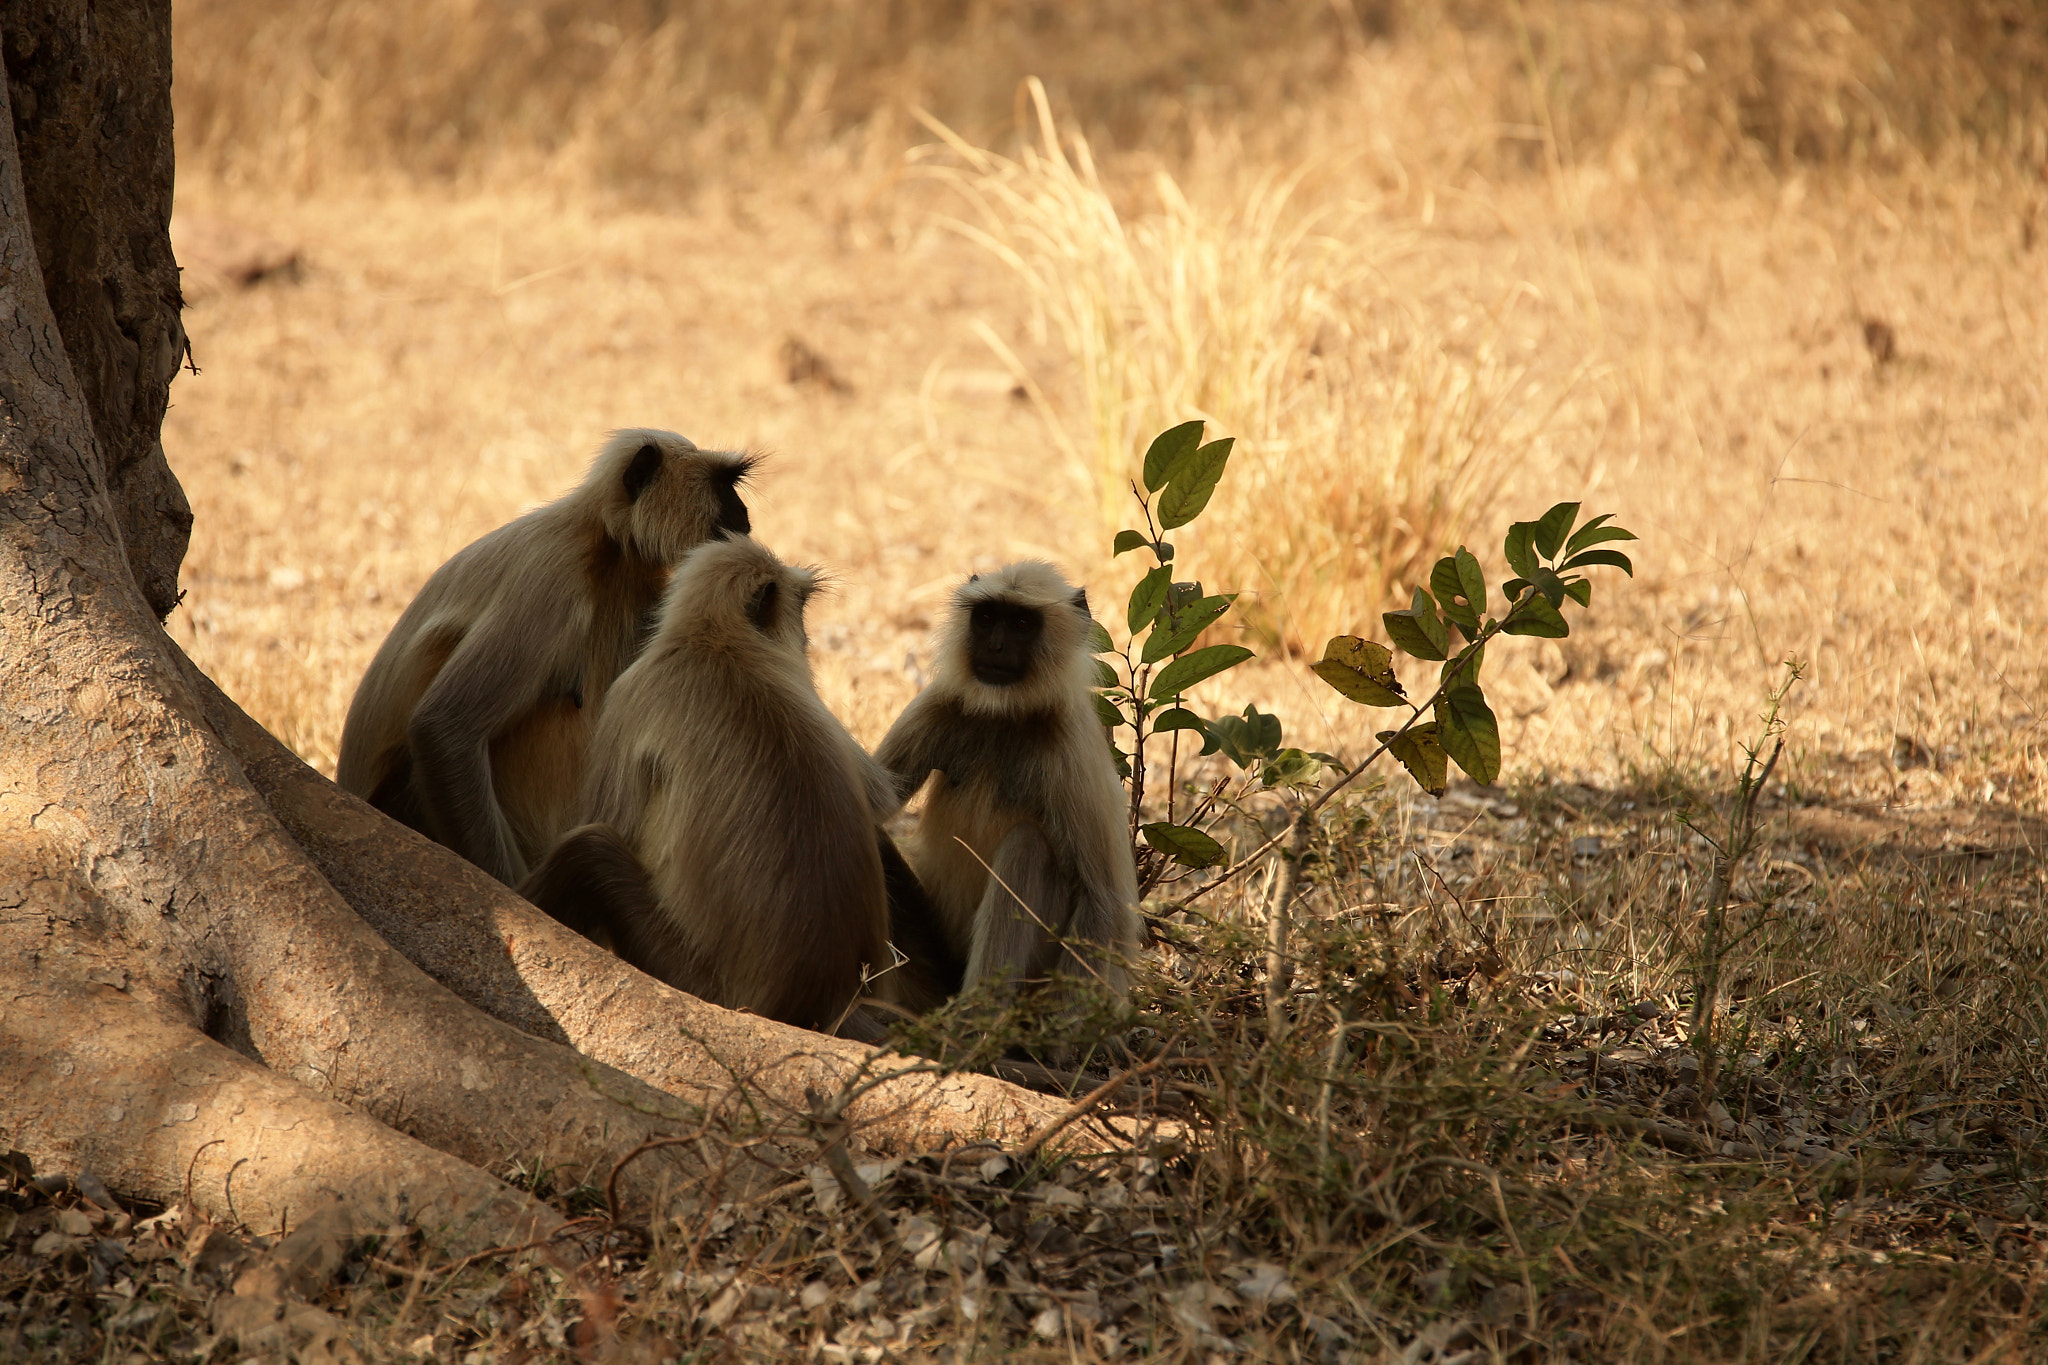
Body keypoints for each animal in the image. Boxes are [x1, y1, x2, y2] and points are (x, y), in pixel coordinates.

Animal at [517, 535, 891, 1033]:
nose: (807, 637)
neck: (718, 639)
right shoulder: (800, 682)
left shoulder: (635, 688)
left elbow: (608, 817)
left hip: (682, 970)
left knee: (590, 847)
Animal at [873, 561, 1140, 1012]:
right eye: (986, 618)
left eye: (1021, 623)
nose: (995, 647)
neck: (1006, 714)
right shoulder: (940, 702)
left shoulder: (1072, 747)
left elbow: (1102, 903)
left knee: (1027, 846)